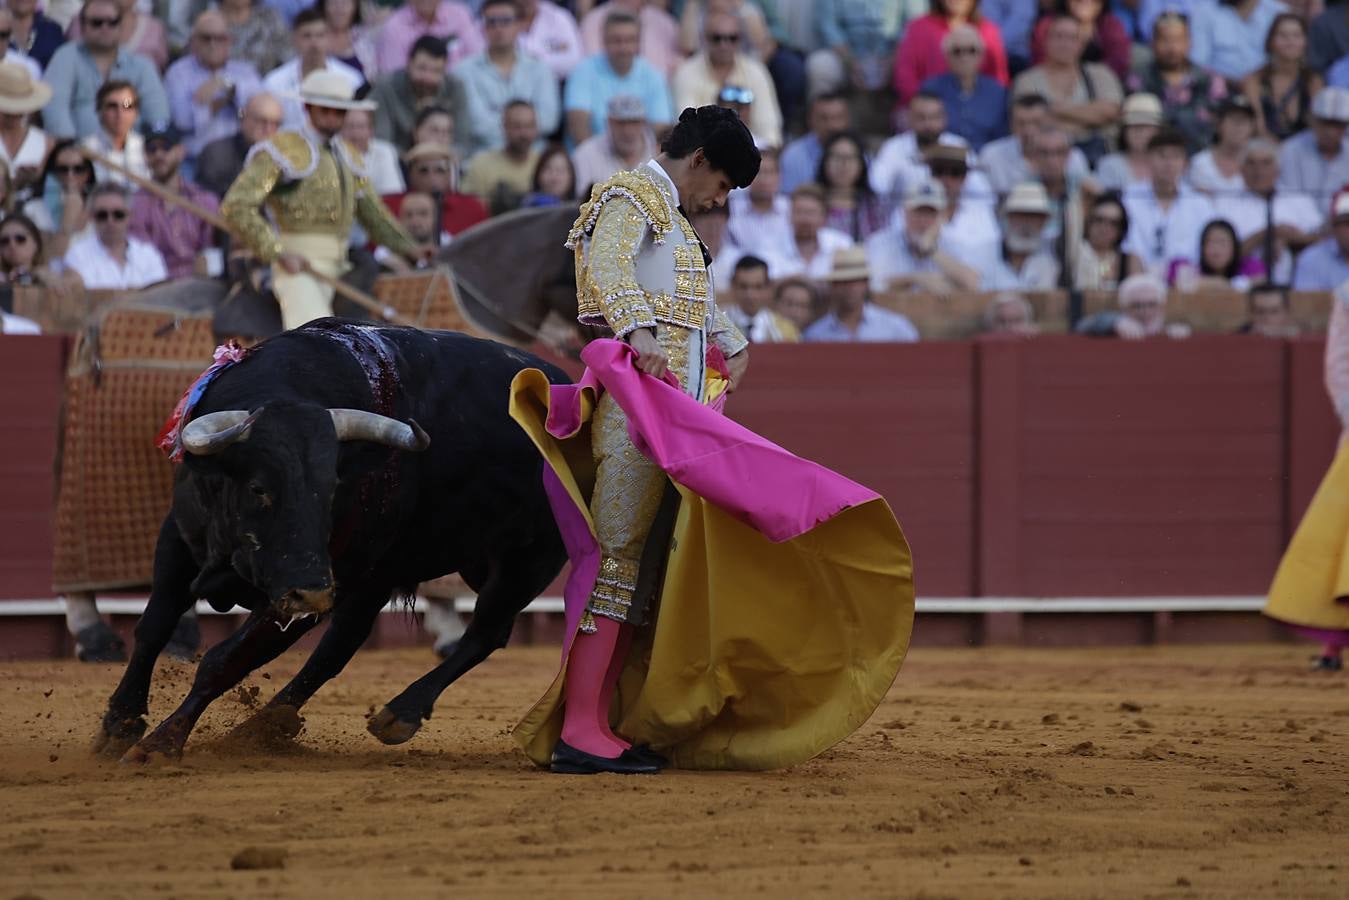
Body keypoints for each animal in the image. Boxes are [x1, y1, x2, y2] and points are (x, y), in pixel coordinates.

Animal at [93, 318, 569, 761]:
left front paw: (160, 744)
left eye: (333, 486)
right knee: (344, 642)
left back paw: (400, 712)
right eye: (258, 488)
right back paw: (266, 726)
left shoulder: (308, 585)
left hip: (530, 559)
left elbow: (224, 661)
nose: (314, 590)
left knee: (486, 631)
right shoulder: (178, 538)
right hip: (421, 568)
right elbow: (154, 625)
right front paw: (120, 723)